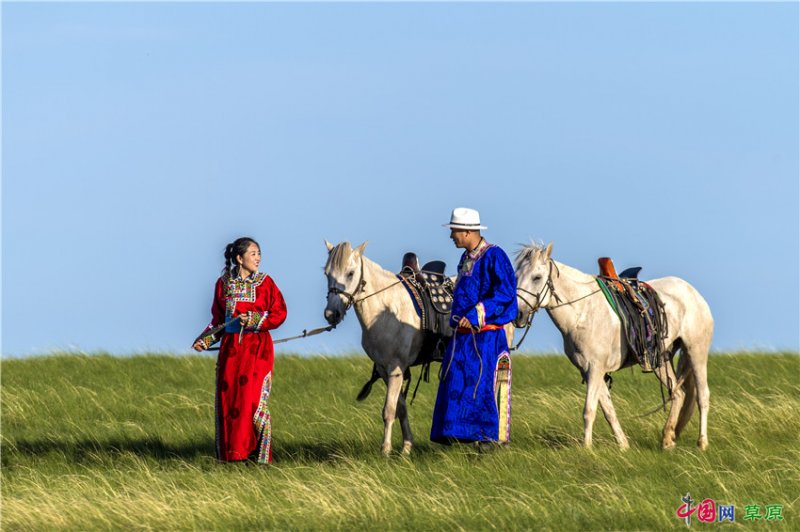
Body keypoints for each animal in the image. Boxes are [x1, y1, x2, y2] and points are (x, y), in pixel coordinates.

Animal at [516, 243, 716, 450]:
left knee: (702, 396)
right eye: (516, 275)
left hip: (696, 351)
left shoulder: (595, 368)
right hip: (661, 360)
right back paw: (667, 439)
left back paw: (702, 443)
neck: (583, 312)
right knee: (678, 393)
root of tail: (693, 293)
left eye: (537, 277)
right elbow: (608, 410)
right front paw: (623, 445)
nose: (518, 315)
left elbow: (589, 410)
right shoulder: (588, 371)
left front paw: (586, 449)